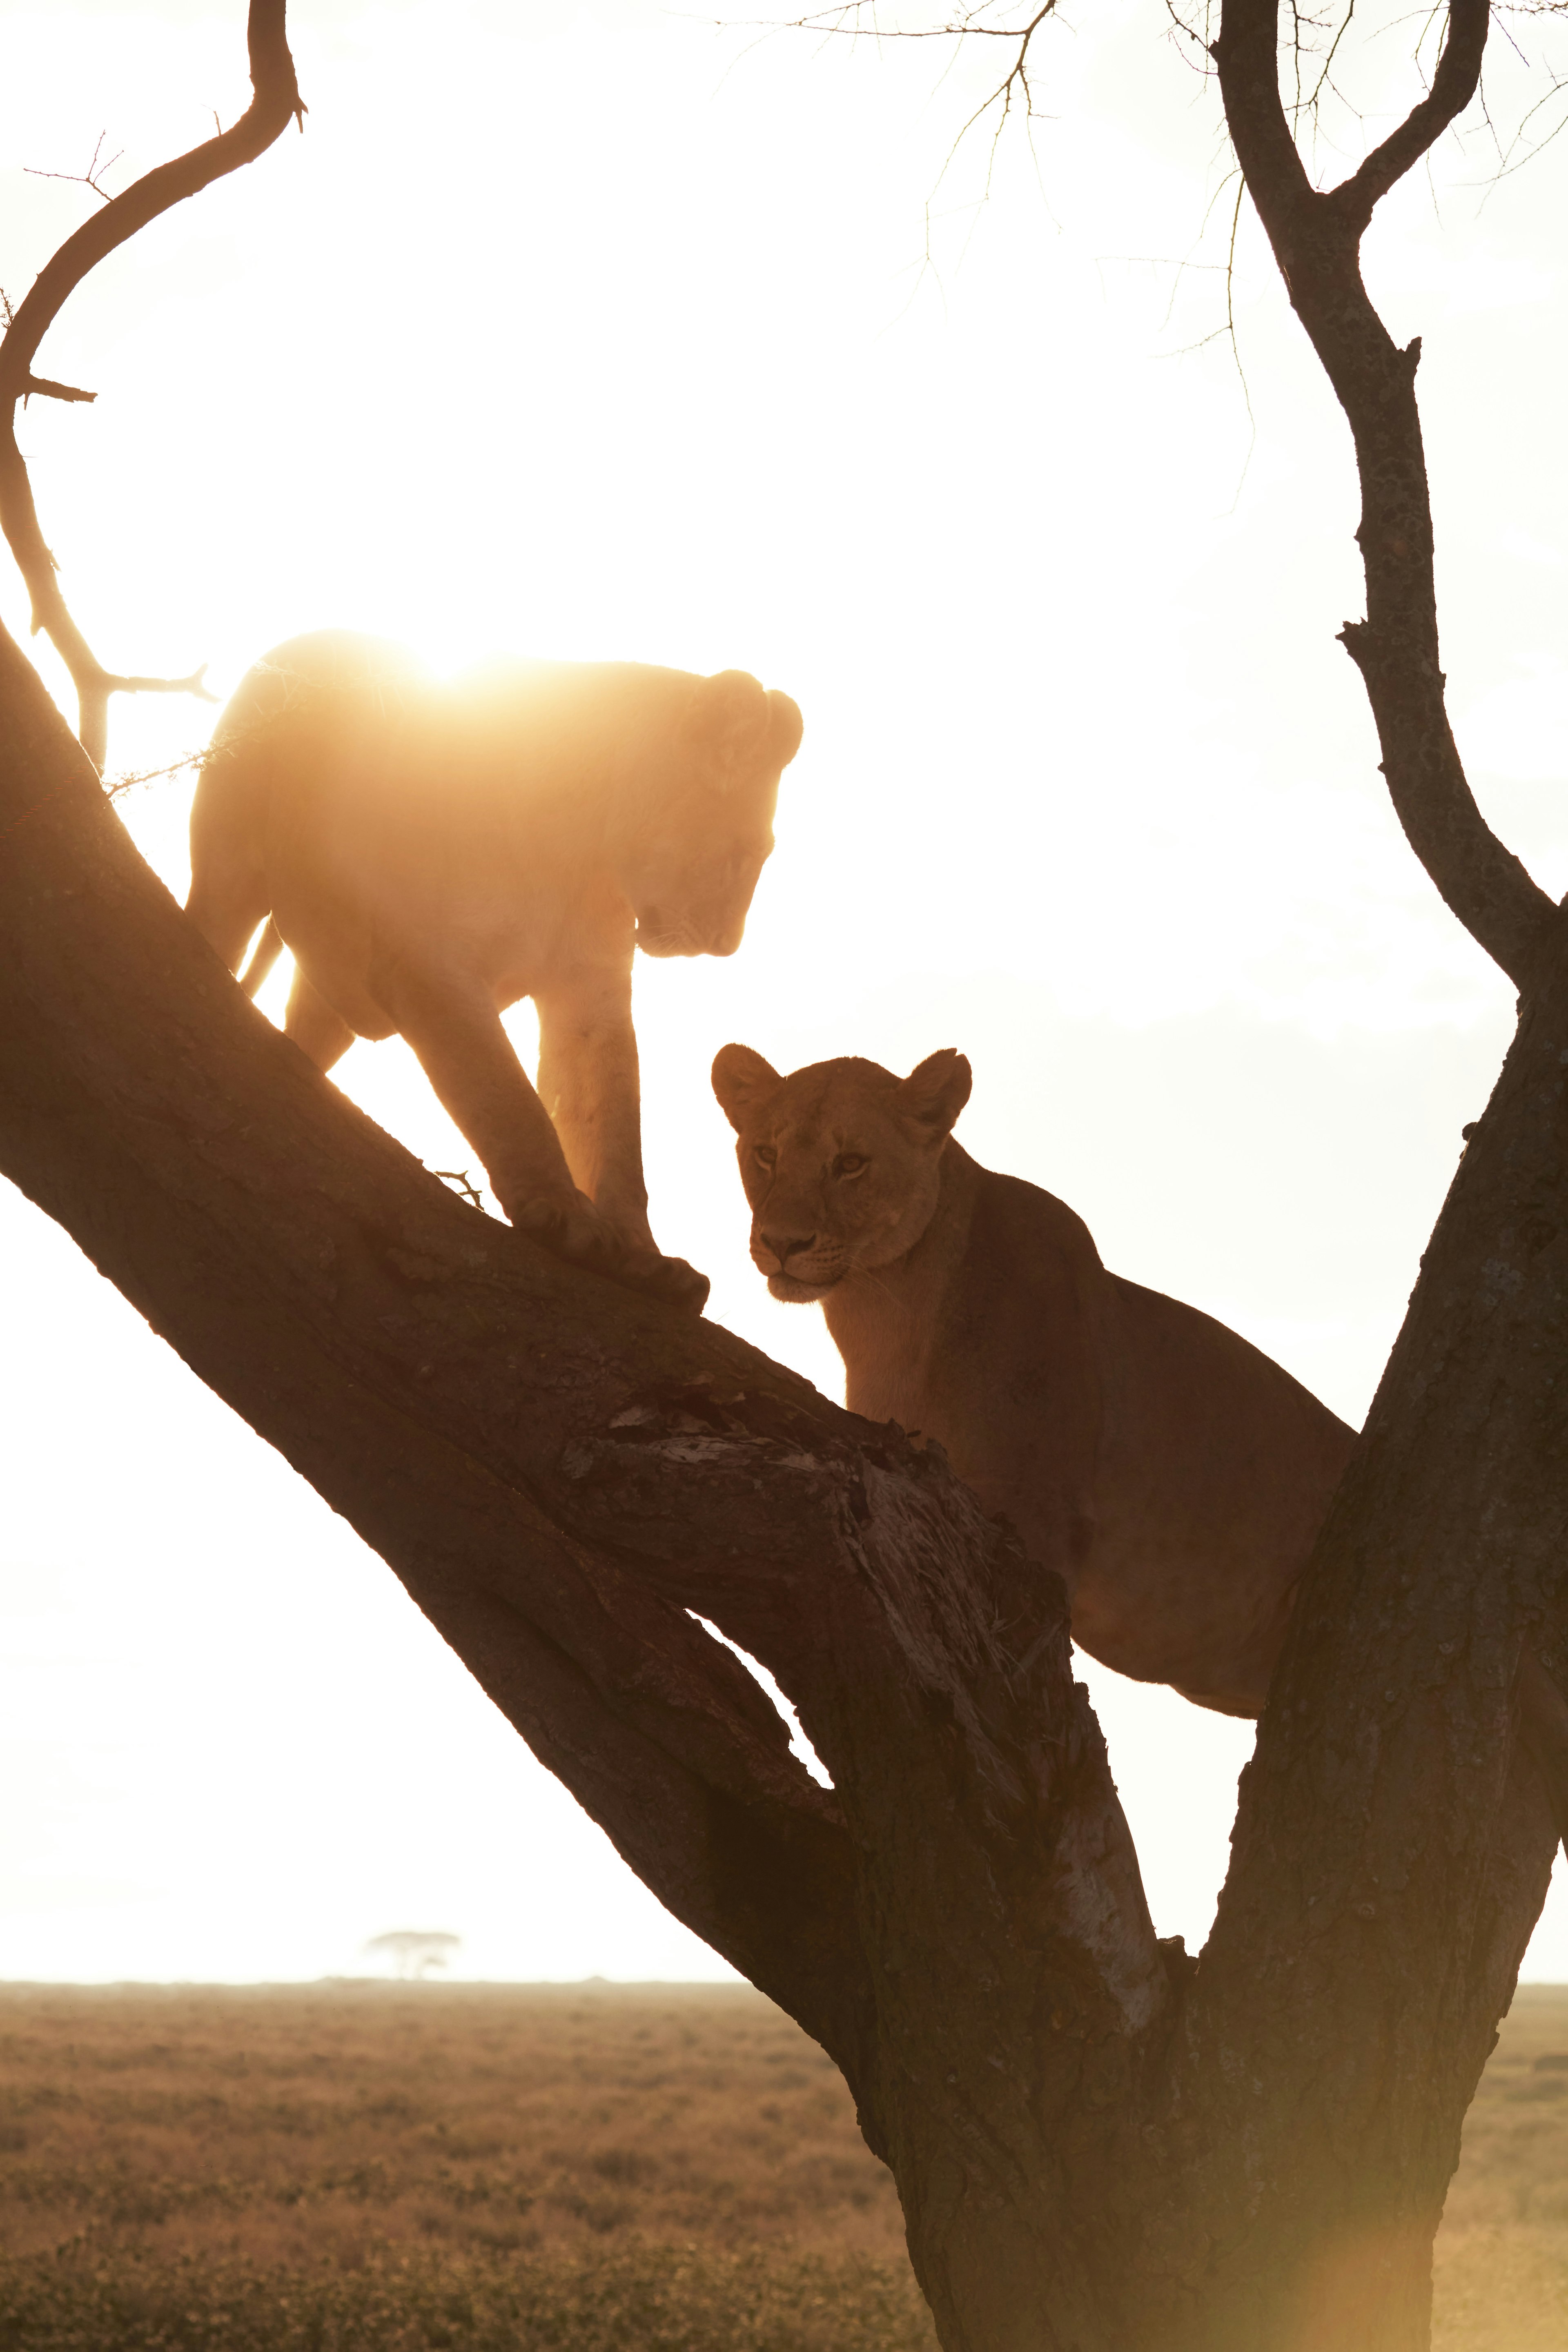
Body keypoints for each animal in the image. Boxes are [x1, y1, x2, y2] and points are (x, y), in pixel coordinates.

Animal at [188, 635, 804, 1317]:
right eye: (746, 855)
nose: (727, 946)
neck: (583, 861)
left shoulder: (590, 991)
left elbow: (613, 1132)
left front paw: (647, 1262)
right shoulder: (429, 960)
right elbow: (504, 1096)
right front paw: (569, 1221)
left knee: (308, 1032)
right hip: (229, 859)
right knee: (215, 920)